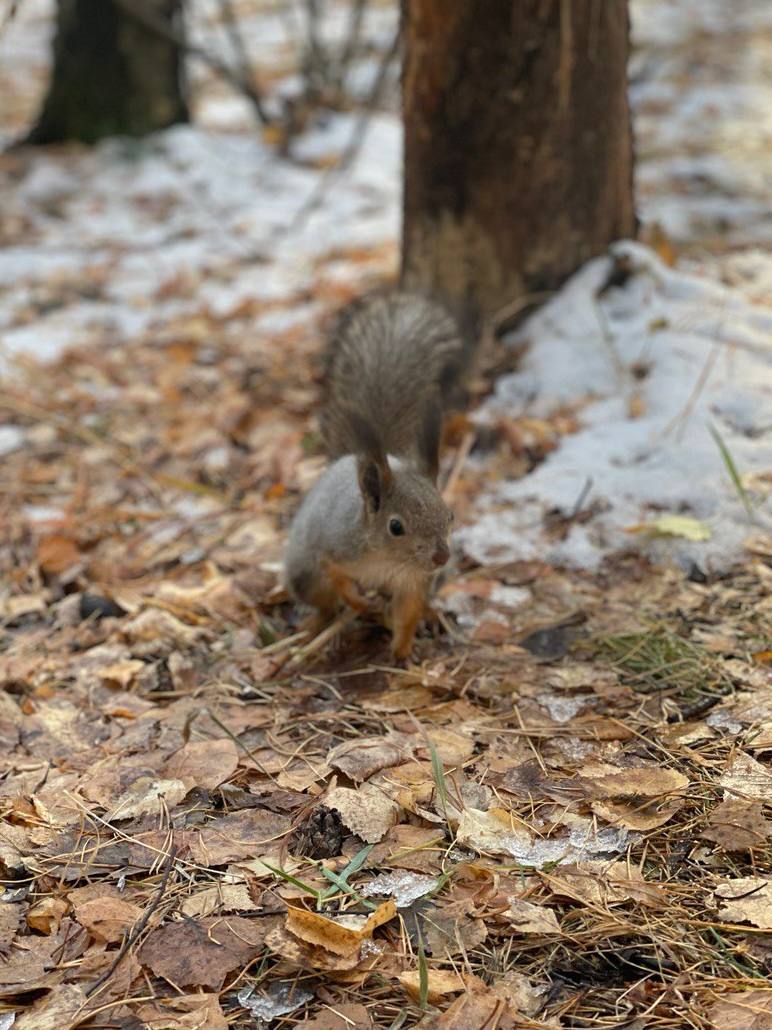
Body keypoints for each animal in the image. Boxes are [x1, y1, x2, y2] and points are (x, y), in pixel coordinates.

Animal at [284, 290, 465, 659]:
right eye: (395, 526)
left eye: (450, 514)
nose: (441, 556)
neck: (386, 560)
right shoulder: (337, 547)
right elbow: (336, 576)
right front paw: (358, 602)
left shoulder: (414, 579)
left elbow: (408, 610)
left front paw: (403, 651)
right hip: (304, 572)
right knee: (323, 601)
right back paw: (323, 626)